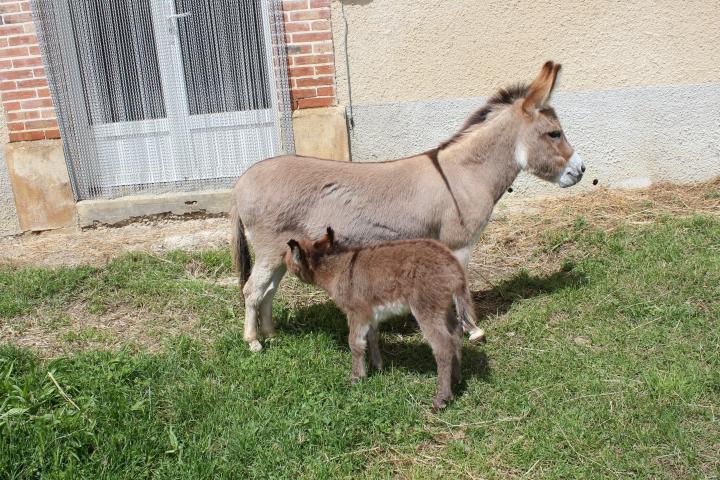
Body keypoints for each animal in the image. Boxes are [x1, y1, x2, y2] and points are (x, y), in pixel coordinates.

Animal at [286, 228, 484, 408]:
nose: (284, 261)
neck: (337, 271)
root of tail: (453, 265)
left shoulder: (356, 313)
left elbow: (355, 344)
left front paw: (357, 377)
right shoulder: (370, 314)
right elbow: (372, 338)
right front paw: (377, 367)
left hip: (426, 308)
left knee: (443, 346)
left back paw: (441, 399)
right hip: (444, 307)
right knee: (455, 333)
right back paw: (456, 379)